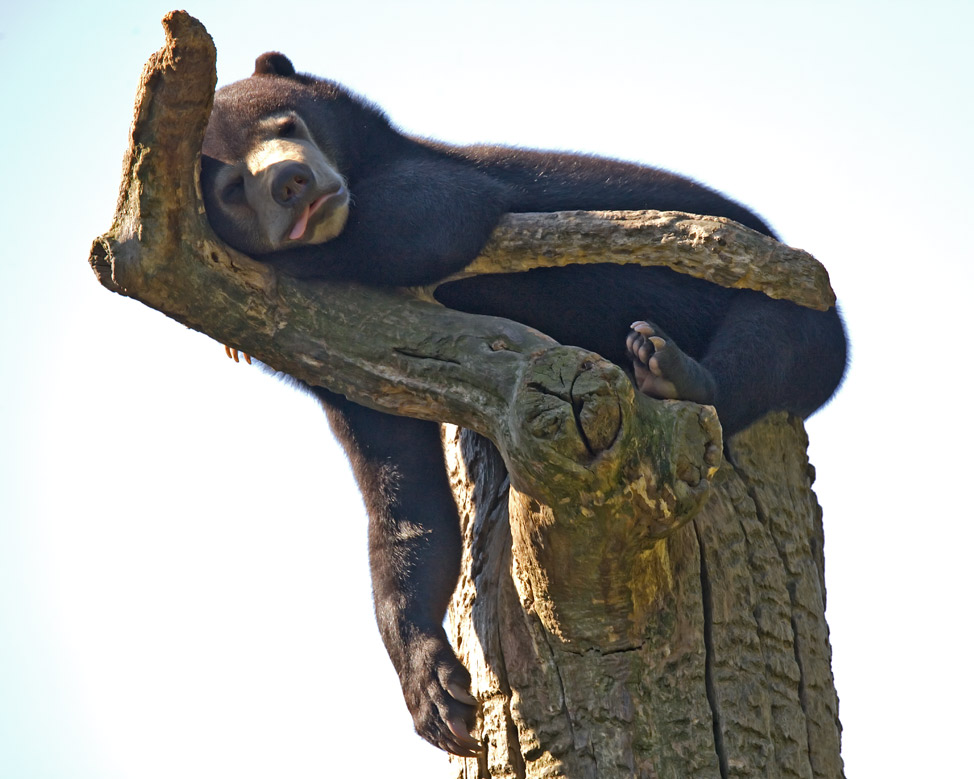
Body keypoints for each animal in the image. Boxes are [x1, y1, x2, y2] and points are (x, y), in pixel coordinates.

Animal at [202, 51, 852, 760]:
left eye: (288, 123)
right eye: (232, 187)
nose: (292, 182)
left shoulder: (429, 177)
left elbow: (441, 212)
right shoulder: (348, 358)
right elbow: (405, 503)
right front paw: (437, 694)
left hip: (803, 302)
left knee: (773, 341)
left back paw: (670, 369)